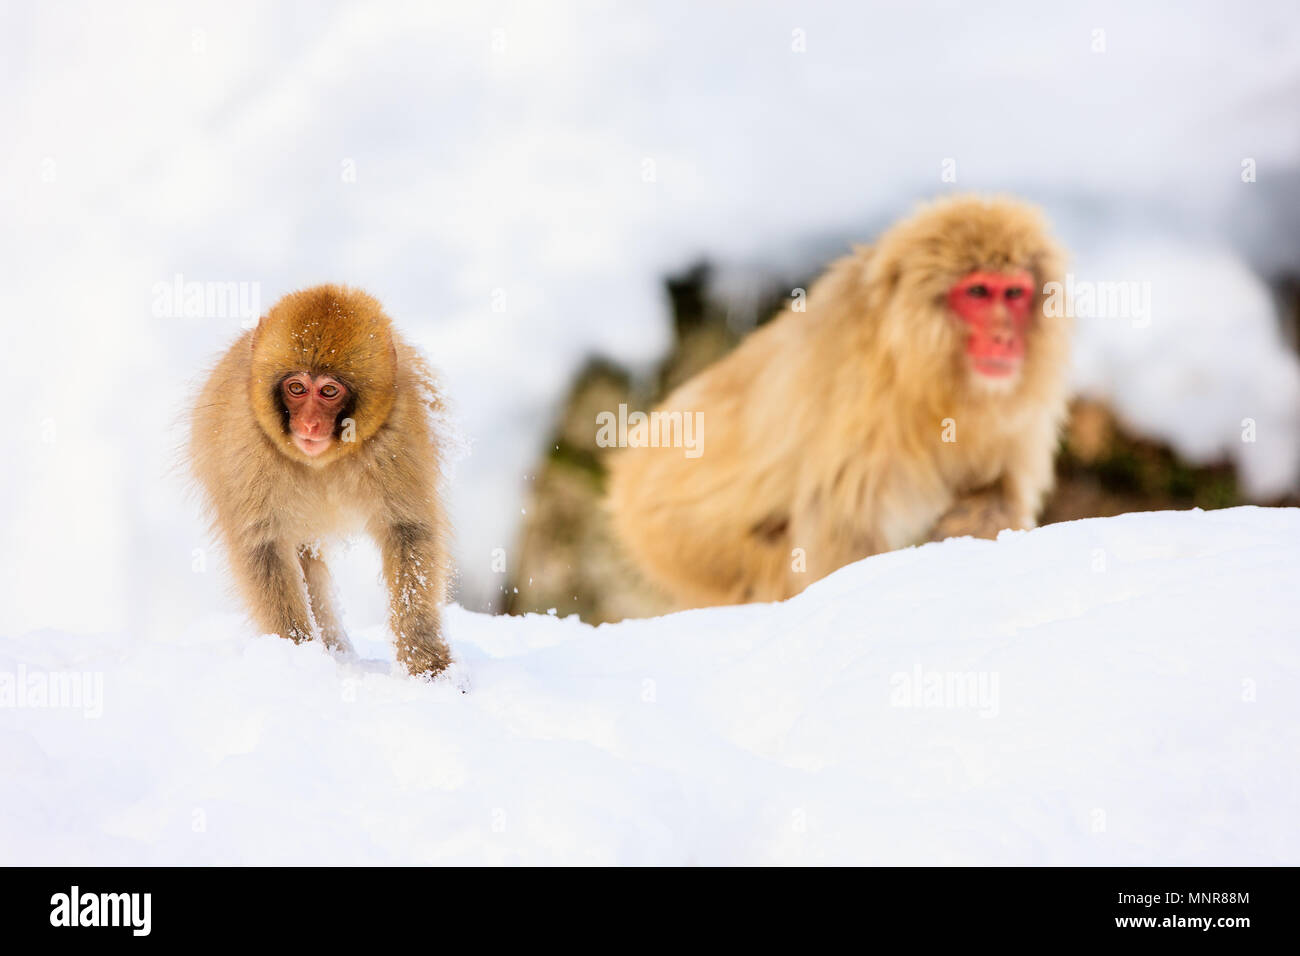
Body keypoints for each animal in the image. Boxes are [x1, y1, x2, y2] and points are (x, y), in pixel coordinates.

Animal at [189, 284, 453, 677]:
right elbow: (264, 546)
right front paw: (298, 655)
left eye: (329, 392)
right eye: (297, 387)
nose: (310, 424)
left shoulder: (397, 433)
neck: (321, 462)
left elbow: (407, 531)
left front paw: (425, 658)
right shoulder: (247, 445)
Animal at [606, 195, 1071, 609]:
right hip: (679, 544)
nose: (1005, 337)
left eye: (1014, 293)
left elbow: (994, 496)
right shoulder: (864, 404)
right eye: (977, 291)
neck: (923, 377)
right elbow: (843, 540)